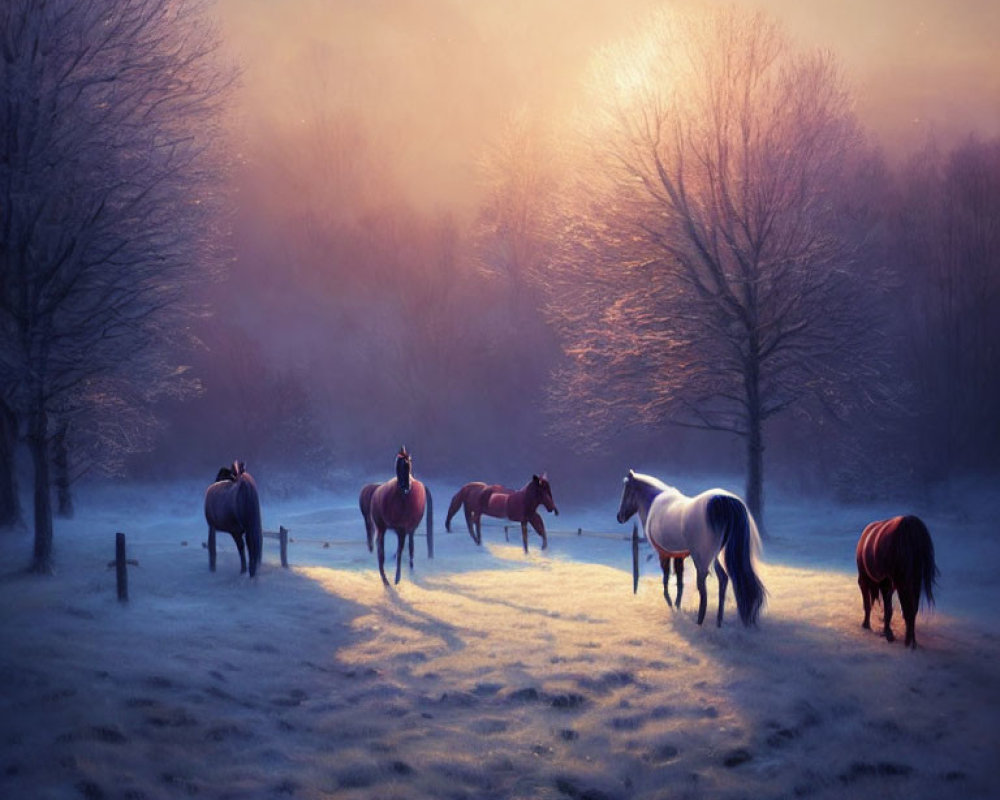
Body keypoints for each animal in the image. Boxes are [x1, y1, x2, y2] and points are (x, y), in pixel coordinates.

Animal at [364, 446, 434, 584]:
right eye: (397, 463)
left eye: (409, 463)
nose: (405, 486)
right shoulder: (396, 529)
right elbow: (391, 552)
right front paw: (394, 578)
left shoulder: (406, 529)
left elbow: (406, 550)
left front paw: (400, 576)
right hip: (385, 528)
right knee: (383, 551)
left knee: (406, 547)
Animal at [616, 472, 764, 628]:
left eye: (627, 491)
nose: (619, 517)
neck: (654, 503)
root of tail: (723, 500)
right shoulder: (678, 555)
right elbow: (680, 581)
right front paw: (677, 606)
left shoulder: (664, 554)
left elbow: (666, 578)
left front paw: (670, 604)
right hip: (716, 556)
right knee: (723, 580)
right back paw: (718, 622)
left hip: (702, 560)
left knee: (703, 589)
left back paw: (699, 622)